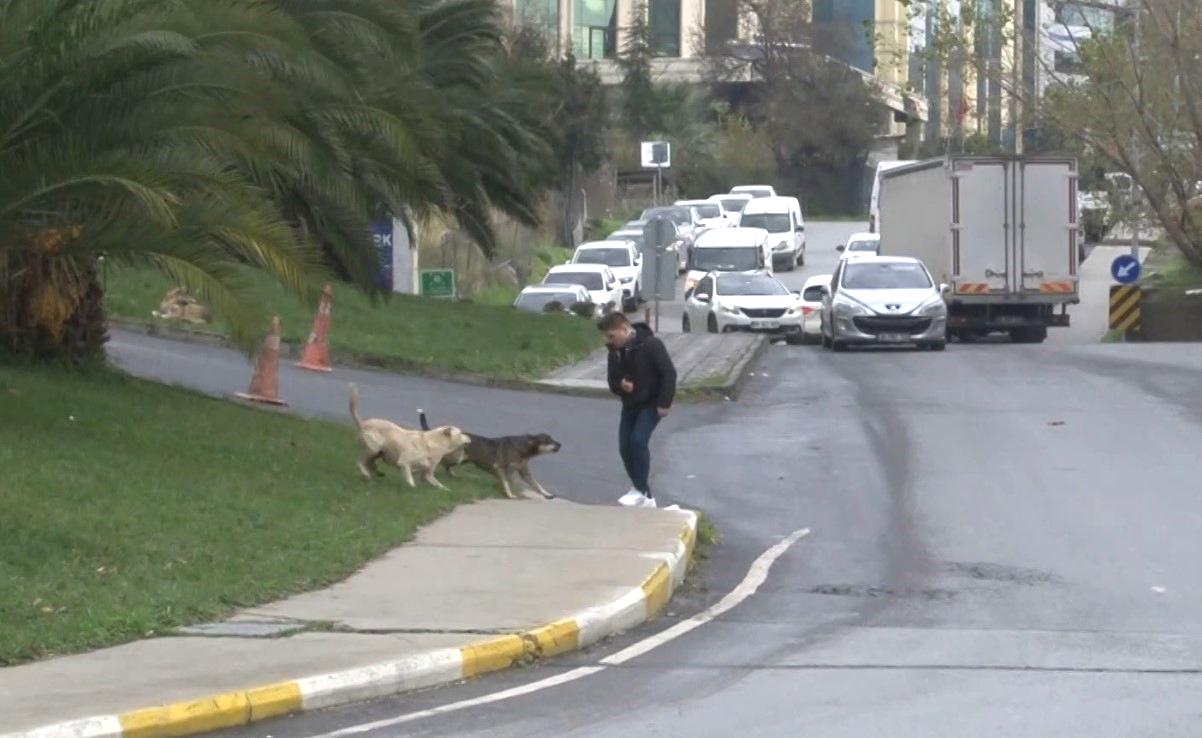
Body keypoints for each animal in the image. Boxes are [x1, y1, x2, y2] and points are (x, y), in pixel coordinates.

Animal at [420, 411, 560, 502]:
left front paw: (547, 494)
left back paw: (452, 475)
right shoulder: (500, 467)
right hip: (456, 457)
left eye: (552, 439)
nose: (560, 444)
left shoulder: (524, 471)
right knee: (443, 462)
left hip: (462, 459)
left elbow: (537, 485)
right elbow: (506, 483)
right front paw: (509, 495)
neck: (524, 447)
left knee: (447, 467)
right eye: (548, 440)